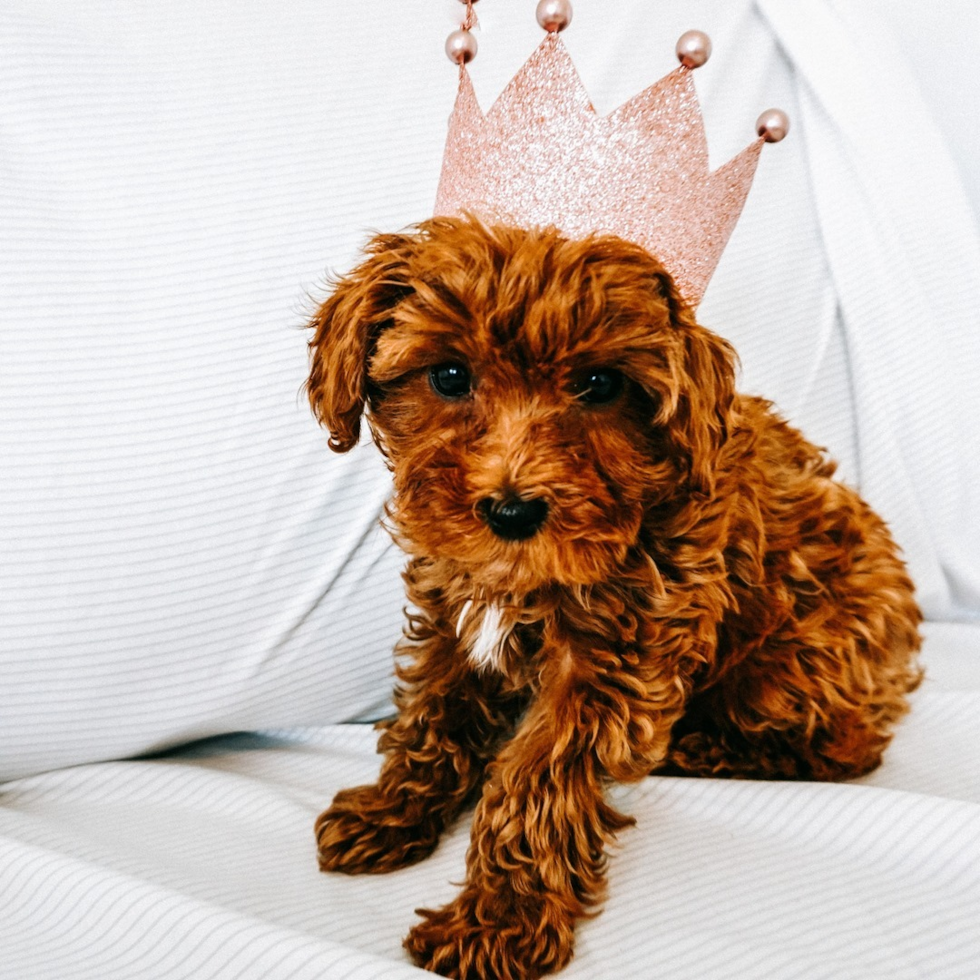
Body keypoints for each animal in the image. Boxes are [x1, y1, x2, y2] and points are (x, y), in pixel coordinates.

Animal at [304, 216, 920, 980]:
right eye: (449, 376)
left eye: (599, 385)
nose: (512, 512)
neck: (524, 578)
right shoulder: (453, 617)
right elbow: (433, 715)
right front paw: (394, 810)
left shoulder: (615, 659)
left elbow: (534, 784)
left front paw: (500, 922)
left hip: (794, 663)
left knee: (850, 745)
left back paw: (707, 748)